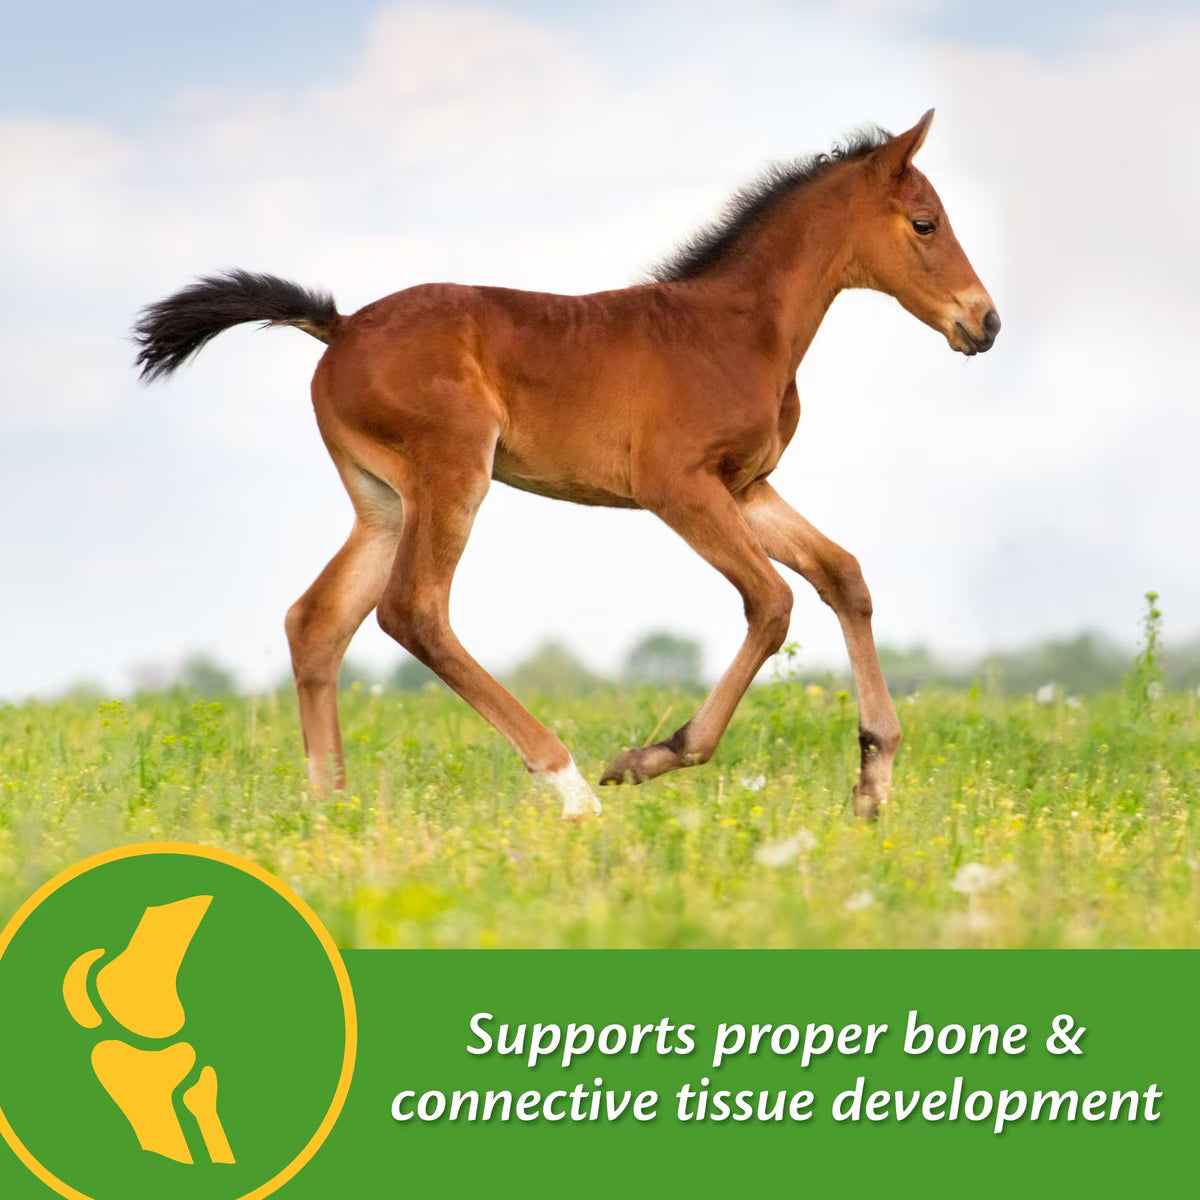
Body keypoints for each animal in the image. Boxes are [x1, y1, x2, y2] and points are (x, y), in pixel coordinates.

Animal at [133, 109, 999, 821]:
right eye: (925, 223)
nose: (984, 321)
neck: (737, 327)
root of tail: (338, 326)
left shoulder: (746, 487)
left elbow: (842, 575)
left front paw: (873, 779)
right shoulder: (677, 486)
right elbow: (772, 600)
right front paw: (651, 757)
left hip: (381, 499)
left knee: (318, 621)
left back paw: (329, 810)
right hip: (453, 474)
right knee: (413, 611)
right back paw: (571, 786)